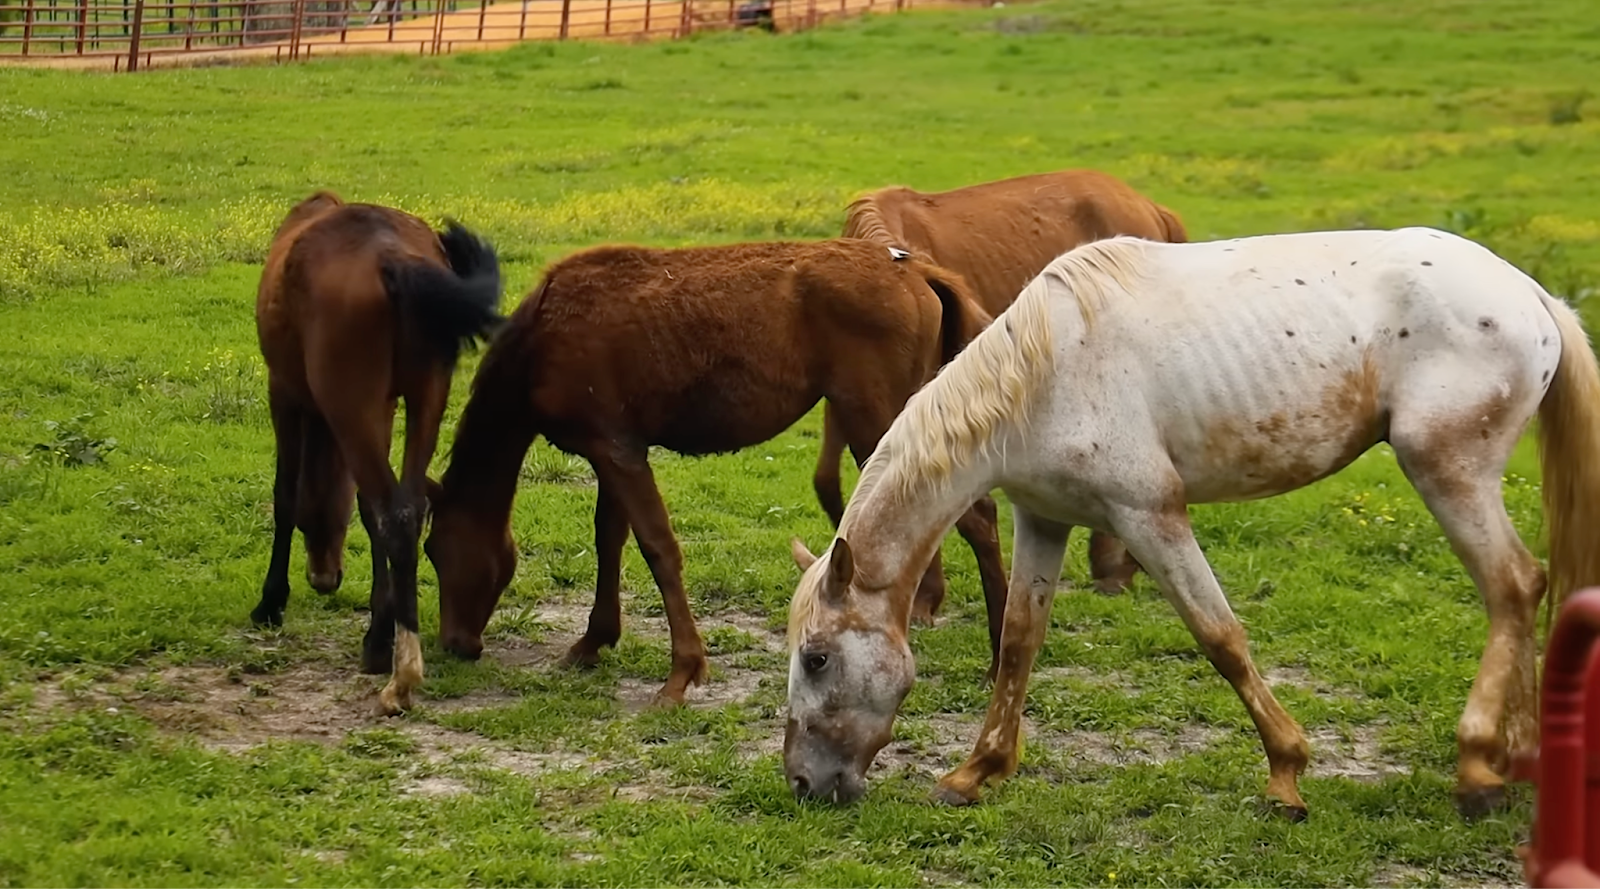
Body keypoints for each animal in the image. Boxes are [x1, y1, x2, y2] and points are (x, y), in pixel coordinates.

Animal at [252, 190, 504, 716]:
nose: (324, 577)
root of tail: (392, 257)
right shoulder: (385, 407)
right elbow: (369, 512)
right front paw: (377, 632)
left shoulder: (283, 391)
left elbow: (285, 495)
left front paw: (271, 602)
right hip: (425, 397)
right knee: (406, 510)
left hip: (351, 402)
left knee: (396, 514)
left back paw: (402, 678)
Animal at [422, 238, 1002, 704]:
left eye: (435, 549)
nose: (456, 643)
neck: (536, 351)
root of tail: (921, 272)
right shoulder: (613, 445)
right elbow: (610, 539)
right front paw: (593, 639)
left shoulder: (616, 447)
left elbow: (658, 548)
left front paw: (683, 671)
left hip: (876, 418)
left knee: (976, 518)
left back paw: (998, 664)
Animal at [782, 226, 1600, 821]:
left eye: (816, 658)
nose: (800, 783)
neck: (1044, 375)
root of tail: (1528, 291)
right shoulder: (1044, 519)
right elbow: (1018, 644)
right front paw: (976, 771)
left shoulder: (1150, 516)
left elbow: (1221, 638)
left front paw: (1286, 776)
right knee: (1524, 592)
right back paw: (1517, 759)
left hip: (1448, 472)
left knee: (1513, 586)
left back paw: (1479, 770)